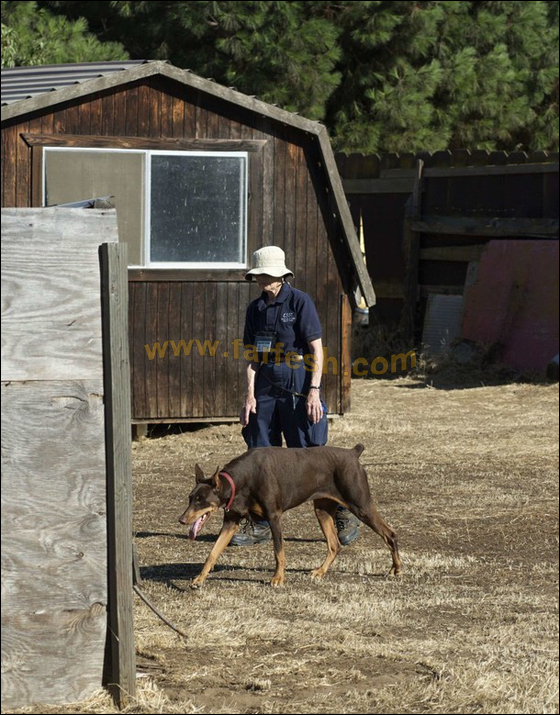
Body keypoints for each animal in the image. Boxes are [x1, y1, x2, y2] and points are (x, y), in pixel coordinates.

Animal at [177, 444, 400, 592]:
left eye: (201, 501)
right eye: (190, 498)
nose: (181, 519)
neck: (241, 481)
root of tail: (353, 453)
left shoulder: (274, 516)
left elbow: (278, 552)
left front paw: (278, 578)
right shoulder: (231, 521)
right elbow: (213, 553)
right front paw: (199, 579)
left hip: (361, 505)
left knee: (390, 534)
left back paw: (396, 569)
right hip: (322, 509)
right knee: (334, 545)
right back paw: (320, 571)